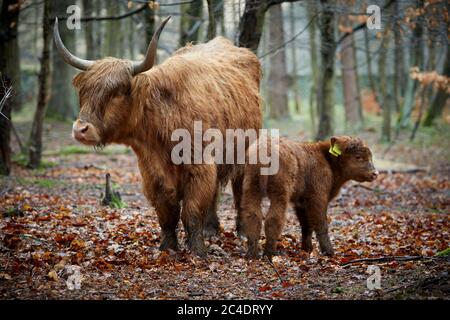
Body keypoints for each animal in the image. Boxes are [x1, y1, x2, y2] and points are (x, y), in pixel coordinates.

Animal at [53, 17, 262, 258]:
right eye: (84, 92)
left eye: (116, 92)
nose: (80, 129)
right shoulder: (151, 173)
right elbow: (166, 212)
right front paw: (168, 247)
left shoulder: (200, 167)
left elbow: (192, 210)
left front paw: (198, 251)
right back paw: (211, 229)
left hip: (245, 150)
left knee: (239, 189)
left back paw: (242, 231)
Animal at [241, 134, 378, 258]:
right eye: (358, 157)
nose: (375, 173)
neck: (327, 160)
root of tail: (264, 148)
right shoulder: (318, 197)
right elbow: (321, 223)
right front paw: (329, 252)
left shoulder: (301, 202)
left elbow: (306, 224)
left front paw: (307, 249)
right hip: (280, 193)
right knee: (273, 219)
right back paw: (270, 253)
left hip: (251, 189)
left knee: (253, 216)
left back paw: (252, 254)